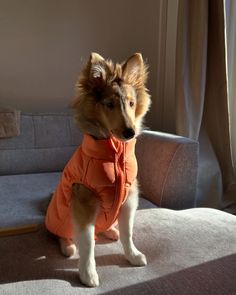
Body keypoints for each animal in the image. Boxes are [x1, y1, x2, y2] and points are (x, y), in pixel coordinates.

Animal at [45, 52, 150, 288]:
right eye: (109, 104)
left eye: (131, 103)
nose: (129, 132)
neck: (116, 154)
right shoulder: (84, 200)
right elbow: (87, 242)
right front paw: (88, 274)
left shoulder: (130, 197)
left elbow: (128, 232)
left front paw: (133, 255)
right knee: (63, 235)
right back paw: (67, 245)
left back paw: (111, 231)